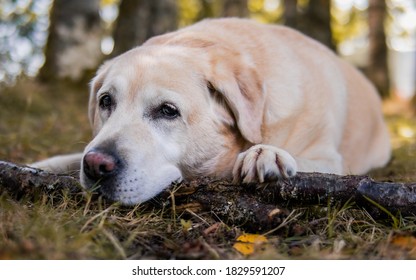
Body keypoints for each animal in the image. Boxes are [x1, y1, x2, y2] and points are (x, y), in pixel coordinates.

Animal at [32, 18, 390, 206]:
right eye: (106, 101)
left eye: (168, 111)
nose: (96, 164)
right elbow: (66, 158)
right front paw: (39, 166)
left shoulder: (331, 160)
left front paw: (266, 154)